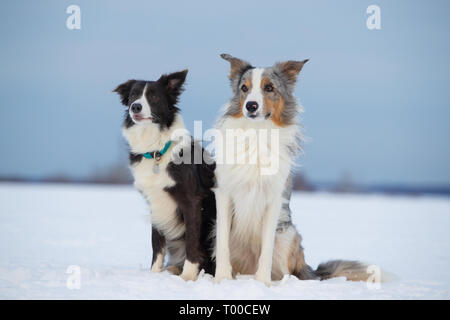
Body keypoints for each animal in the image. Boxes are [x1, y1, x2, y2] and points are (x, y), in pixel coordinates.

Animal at [114, 70, 216, 280]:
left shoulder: (192, 201)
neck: (157, 151)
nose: (135, 106)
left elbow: (191, 242)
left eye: (153, 96)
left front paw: (188, 277)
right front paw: (154, 274)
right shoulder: (155, 202)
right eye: (133, 95)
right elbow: (157, 244)